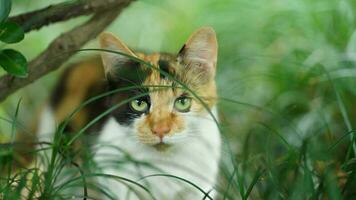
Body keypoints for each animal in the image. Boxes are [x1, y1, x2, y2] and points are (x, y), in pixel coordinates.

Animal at [36, 27, 221, 200]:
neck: (163, 163)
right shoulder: (115, 178)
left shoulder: (201, 186)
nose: (160, 129)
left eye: (182, 102)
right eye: (138, 104)